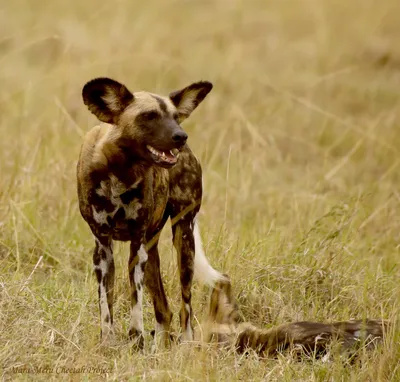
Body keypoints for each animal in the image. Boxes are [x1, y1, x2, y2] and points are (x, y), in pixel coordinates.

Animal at [76, 76, 225, 348]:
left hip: (183, 240)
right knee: (164, 310)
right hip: (152, 249)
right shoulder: (103, 247)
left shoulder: (137, 245)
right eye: (149, 116)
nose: (181, 136)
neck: (120, 172)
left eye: (175, 117)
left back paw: (185, 346)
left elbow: (135, 301)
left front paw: (136, 339)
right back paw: (159, 348)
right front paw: (107, 343)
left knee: (185, 306)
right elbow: (105, 305)